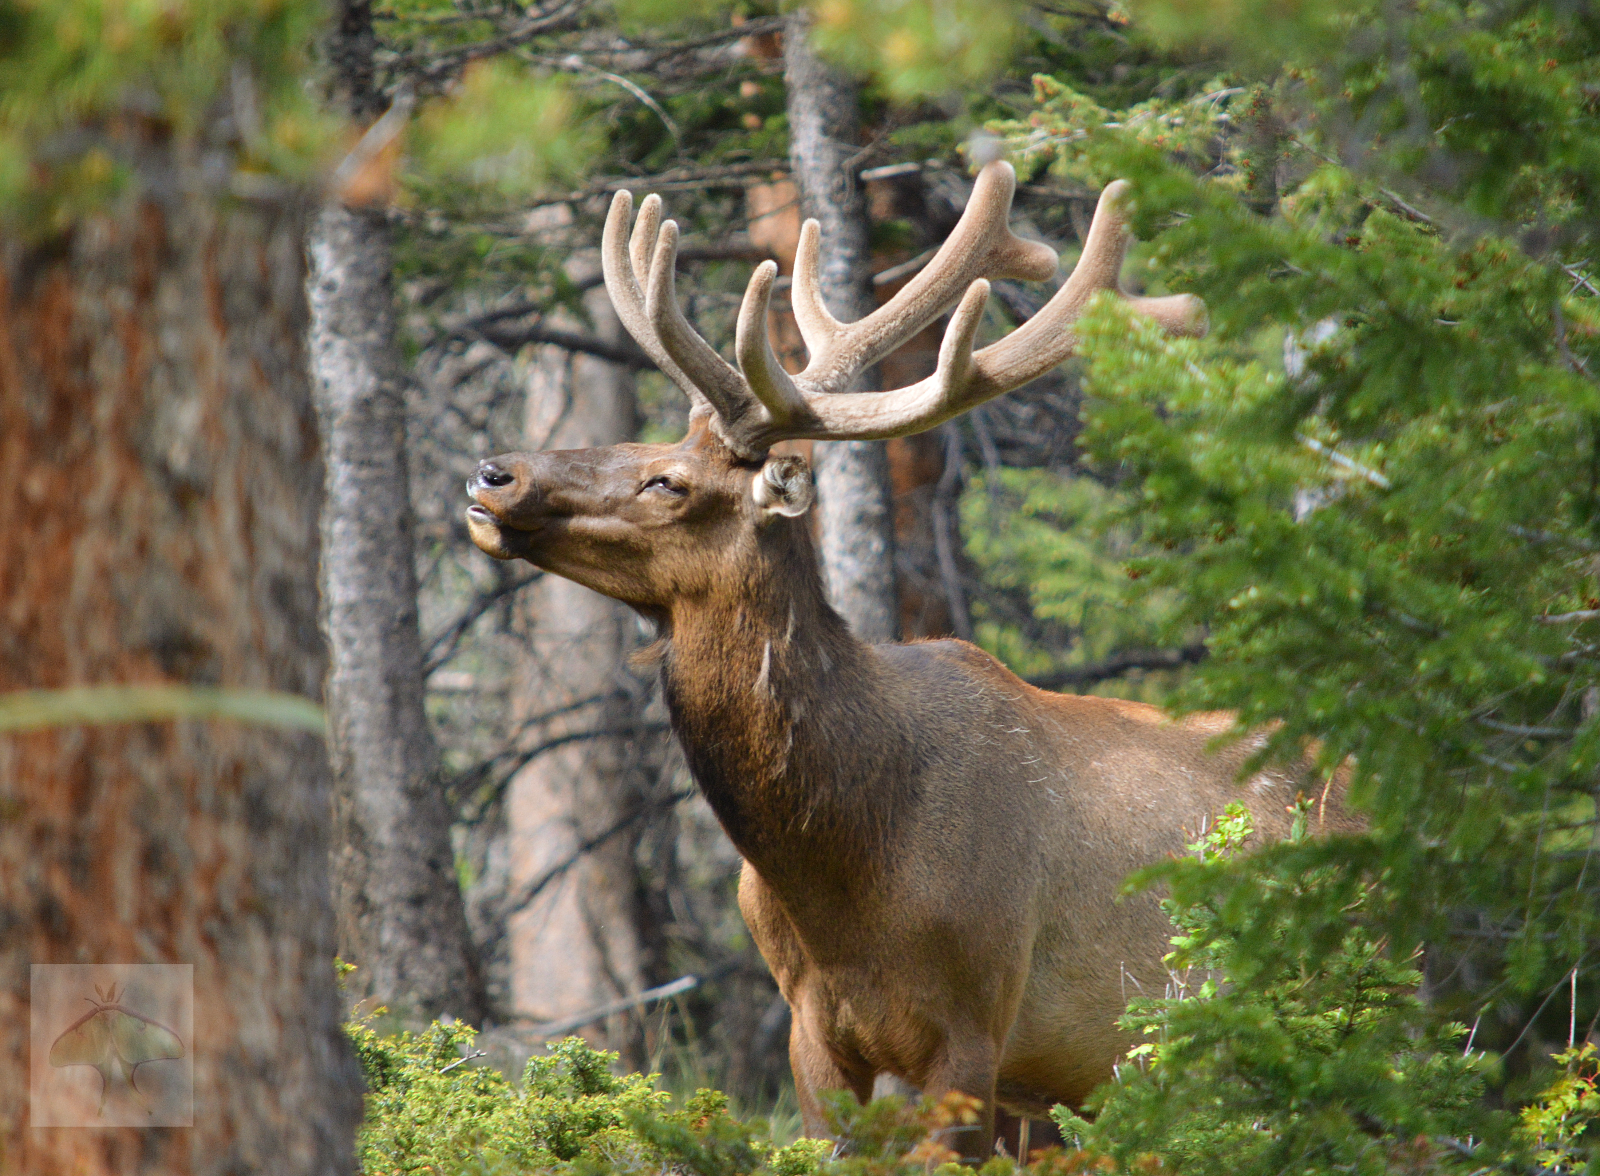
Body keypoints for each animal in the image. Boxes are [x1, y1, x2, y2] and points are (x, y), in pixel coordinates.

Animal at [464, 161, 1360, 1157]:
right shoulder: (812, 1038)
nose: (493, 473)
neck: (844, 873)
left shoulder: (978, 1025)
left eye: (670, 482)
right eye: (638, 443)